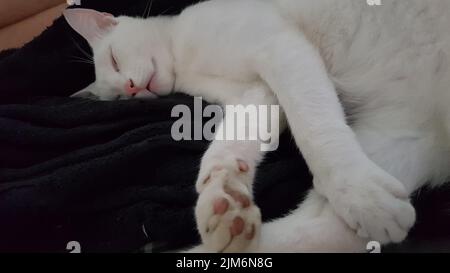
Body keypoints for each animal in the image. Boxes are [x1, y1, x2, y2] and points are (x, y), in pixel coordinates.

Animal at [63, 0, 450, 251]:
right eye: (118, 98)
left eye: (115, 59)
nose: (131, 88)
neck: (183, 61)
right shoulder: (259, 91)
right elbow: (232, 139)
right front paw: (222, 189)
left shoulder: (279, 48)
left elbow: (314, 127)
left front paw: (356, 187)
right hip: (401, 138)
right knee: (325, 230)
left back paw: (364, 196)